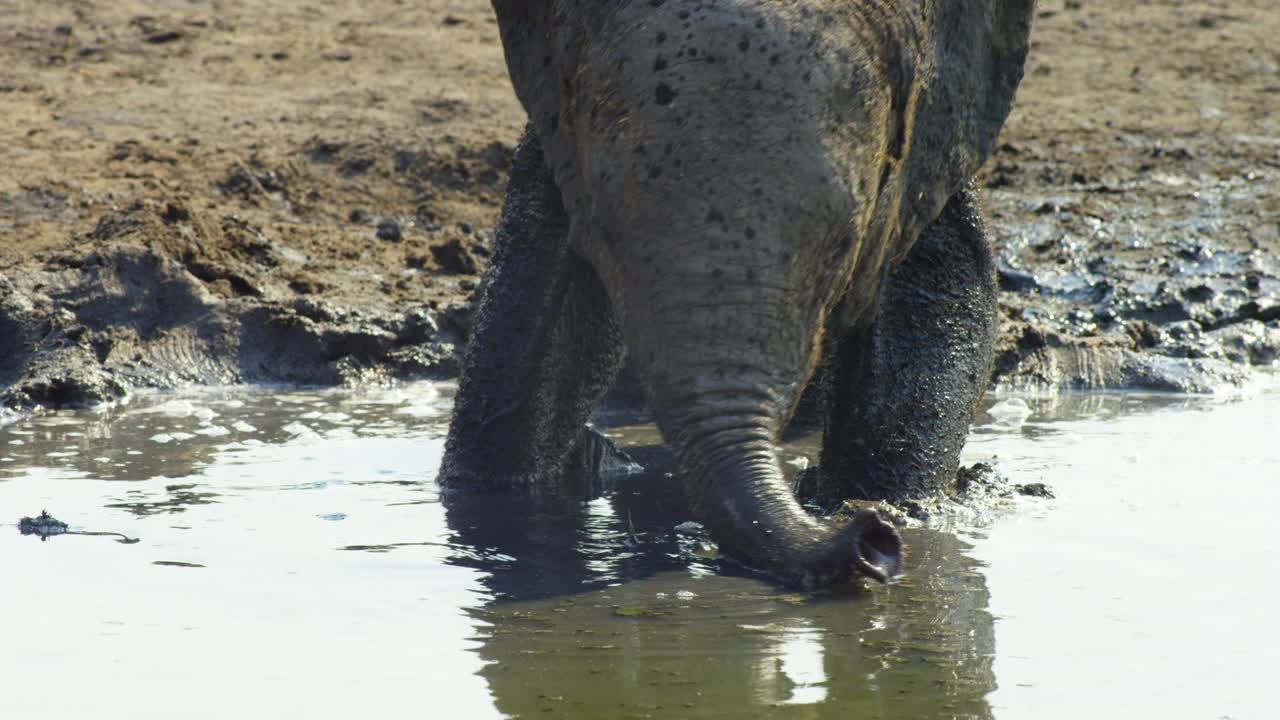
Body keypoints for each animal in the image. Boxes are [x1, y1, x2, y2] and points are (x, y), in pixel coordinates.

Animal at [435, 1, 1034, 589]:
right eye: (602, 234)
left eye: (842, 247)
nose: (871, 540)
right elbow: (537, 303)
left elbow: (941, 296)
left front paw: (892, 511)